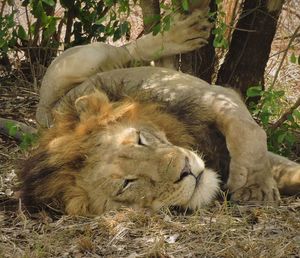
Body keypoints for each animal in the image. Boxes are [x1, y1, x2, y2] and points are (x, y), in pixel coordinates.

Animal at [19, 9, 300, 215]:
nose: (186, 169)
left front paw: (255, 185)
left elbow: (248, 133)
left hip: (84, 59)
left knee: (126, 50)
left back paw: (181, 33)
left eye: (140, 139)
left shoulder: (214, 96)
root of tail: (43, 112)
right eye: (127, 184)